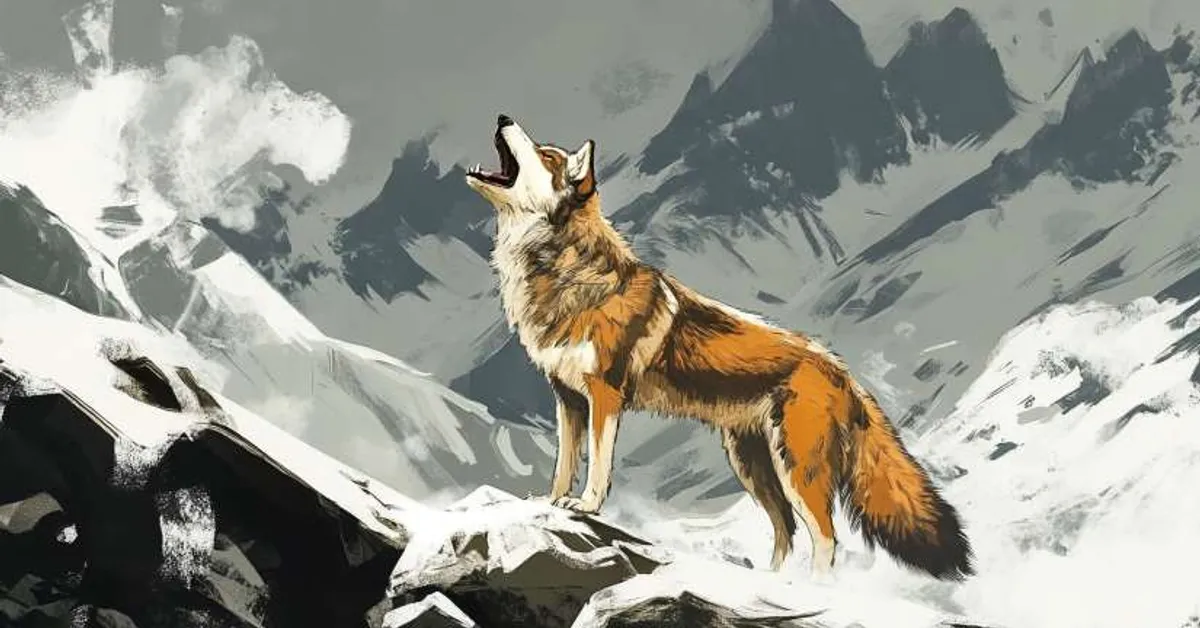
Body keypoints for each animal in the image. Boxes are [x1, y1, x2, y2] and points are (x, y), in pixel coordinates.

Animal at [464, 114, 974, 581]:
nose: (502, 117)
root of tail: (839, 367)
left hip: (796, 473)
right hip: (752, 467)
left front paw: (586, 506)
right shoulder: (567, 398)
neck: (568, 276)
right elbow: (563, 465)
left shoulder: (604, 398)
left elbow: (598, 466)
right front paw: (551, 502)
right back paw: (774, 582)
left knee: (826, 539)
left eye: (545, 155)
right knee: (786, 532)